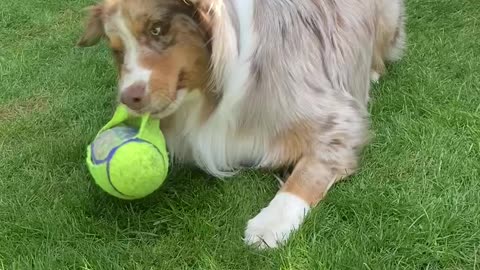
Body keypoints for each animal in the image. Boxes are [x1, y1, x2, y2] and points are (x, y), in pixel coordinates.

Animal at [78, 0, 404, 249]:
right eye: (117, 50)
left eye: (156, 29)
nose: (127, 98)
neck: (209, 95)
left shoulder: (338, 119)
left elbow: (307, 174)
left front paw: (270, 223)